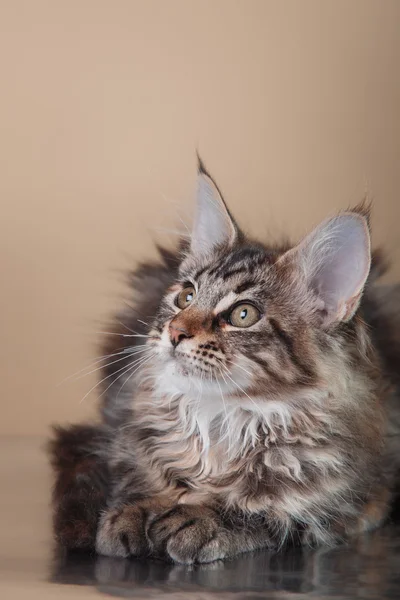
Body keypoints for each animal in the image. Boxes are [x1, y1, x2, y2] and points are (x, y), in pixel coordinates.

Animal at [48, 159, 400, 564]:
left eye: (243, 315)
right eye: (186, 297)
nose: (175, 332)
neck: (220, 421)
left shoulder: (357, 502)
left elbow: (270, 513)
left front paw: (198, 518)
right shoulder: (123, 441)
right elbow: (135, 480)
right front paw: (136, 510)